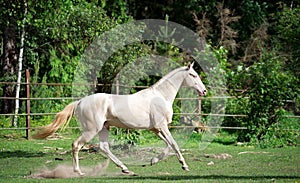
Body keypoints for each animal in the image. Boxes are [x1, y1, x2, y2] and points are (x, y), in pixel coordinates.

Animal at [32, 62, 206, 175]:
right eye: (193, 75)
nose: (203, 91)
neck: (160, 96)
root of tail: (80, 102)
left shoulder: (155, 129)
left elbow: (168, 145)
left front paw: (153, 161)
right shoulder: (162, 126)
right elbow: (174, 144)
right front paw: (184, 166)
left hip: (104, 127)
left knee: (103, 147)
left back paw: (126, 169)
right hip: (91, 130)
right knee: (76, 145)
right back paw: (79, 172)